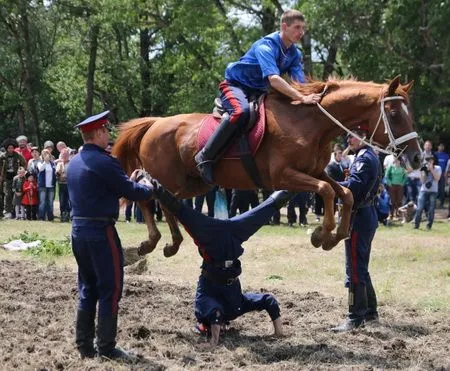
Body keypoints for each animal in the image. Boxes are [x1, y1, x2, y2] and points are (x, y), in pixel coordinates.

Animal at [113, 77, 422, 258]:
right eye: (394, 113)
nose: (418, 158)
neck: (311, 125)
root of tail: (155, 123)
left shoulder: (314, 172)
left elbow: (343, 194)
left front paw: (333, 236)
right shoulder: (284, 177)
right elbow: (326, 191)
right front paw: (322, 234)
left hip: (193, 184)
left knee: (166, 202)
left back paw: (171, 242)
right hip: (170, 177)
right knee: (146, 195)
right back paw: (152, 242)